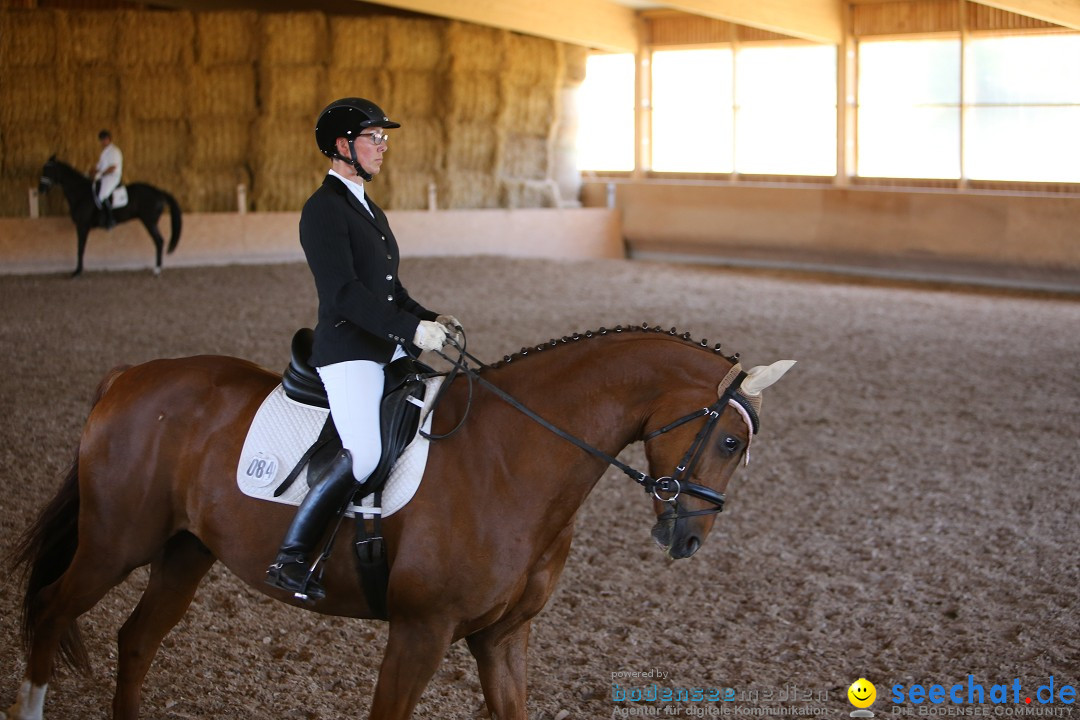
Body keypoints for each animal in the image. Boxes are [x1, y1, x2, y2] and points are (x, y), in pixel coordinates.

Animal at [2, 325, 794, 720]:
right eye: (730, 442)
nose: (687, 539)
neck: (512, 456)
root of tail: (129, 377)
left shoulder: (502, 637)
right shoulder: (421, 631)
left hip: (182, 551)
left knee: (135, 641)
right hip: (115, 543)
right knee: (50, 610)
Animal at [39, 156, 182, 278]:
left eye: (48, 170)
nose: (40, 189)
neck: (81, 193)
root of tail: (159, 192)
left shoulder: (82, 225)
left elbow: (80, 248)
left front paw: (77, 272)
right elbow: (80, 247)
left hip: (149, 222)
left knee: (159, 241)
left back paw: (157, 270)